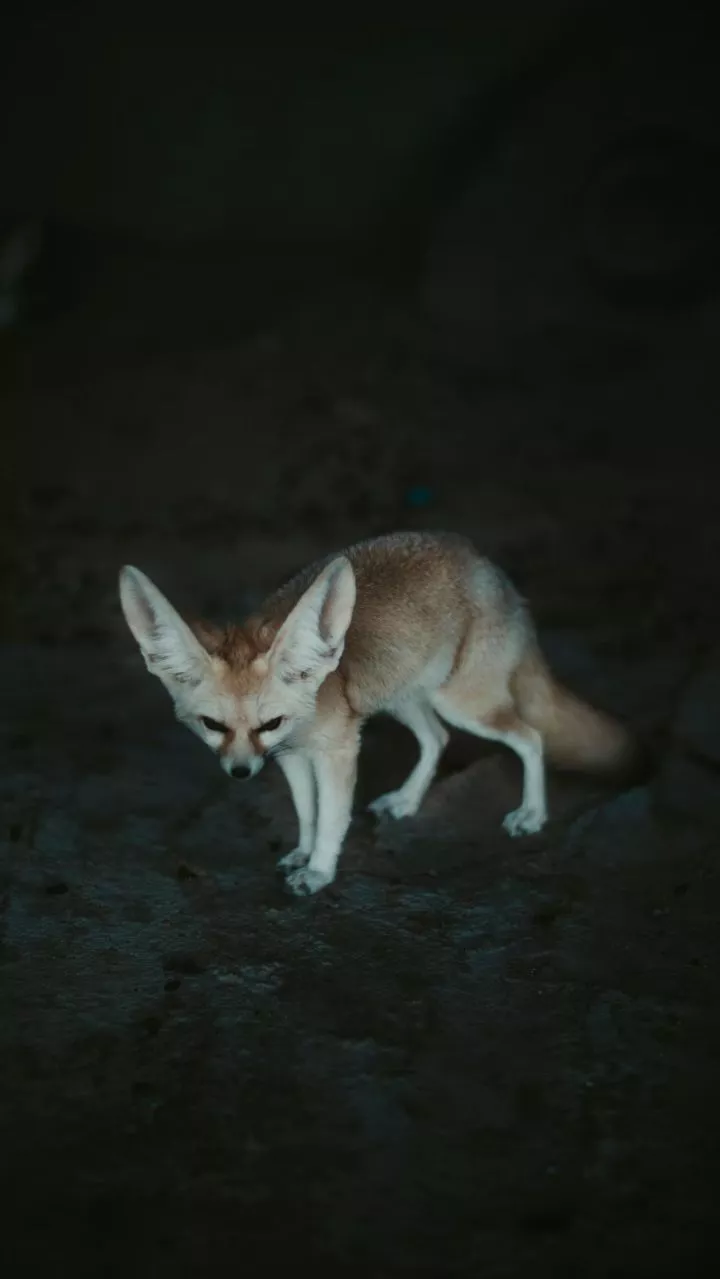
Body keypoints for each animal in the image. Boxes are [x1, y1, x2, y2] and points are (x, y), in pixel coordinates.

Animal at [119, 534, 636, 895]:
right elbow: (307, 812)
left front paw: (320, 870)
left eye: (270, 723)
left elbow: (331, 817)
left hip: (463, 704)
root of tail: (490, 570)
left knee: (530, 737)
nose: (240, 773)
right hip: (404, 698)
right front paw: (303, 852)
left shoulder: (337, 750)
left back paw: (532, 813)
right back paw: (407, 800)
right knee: (438, 739)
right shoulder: (291, 756)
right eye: (213, 726)